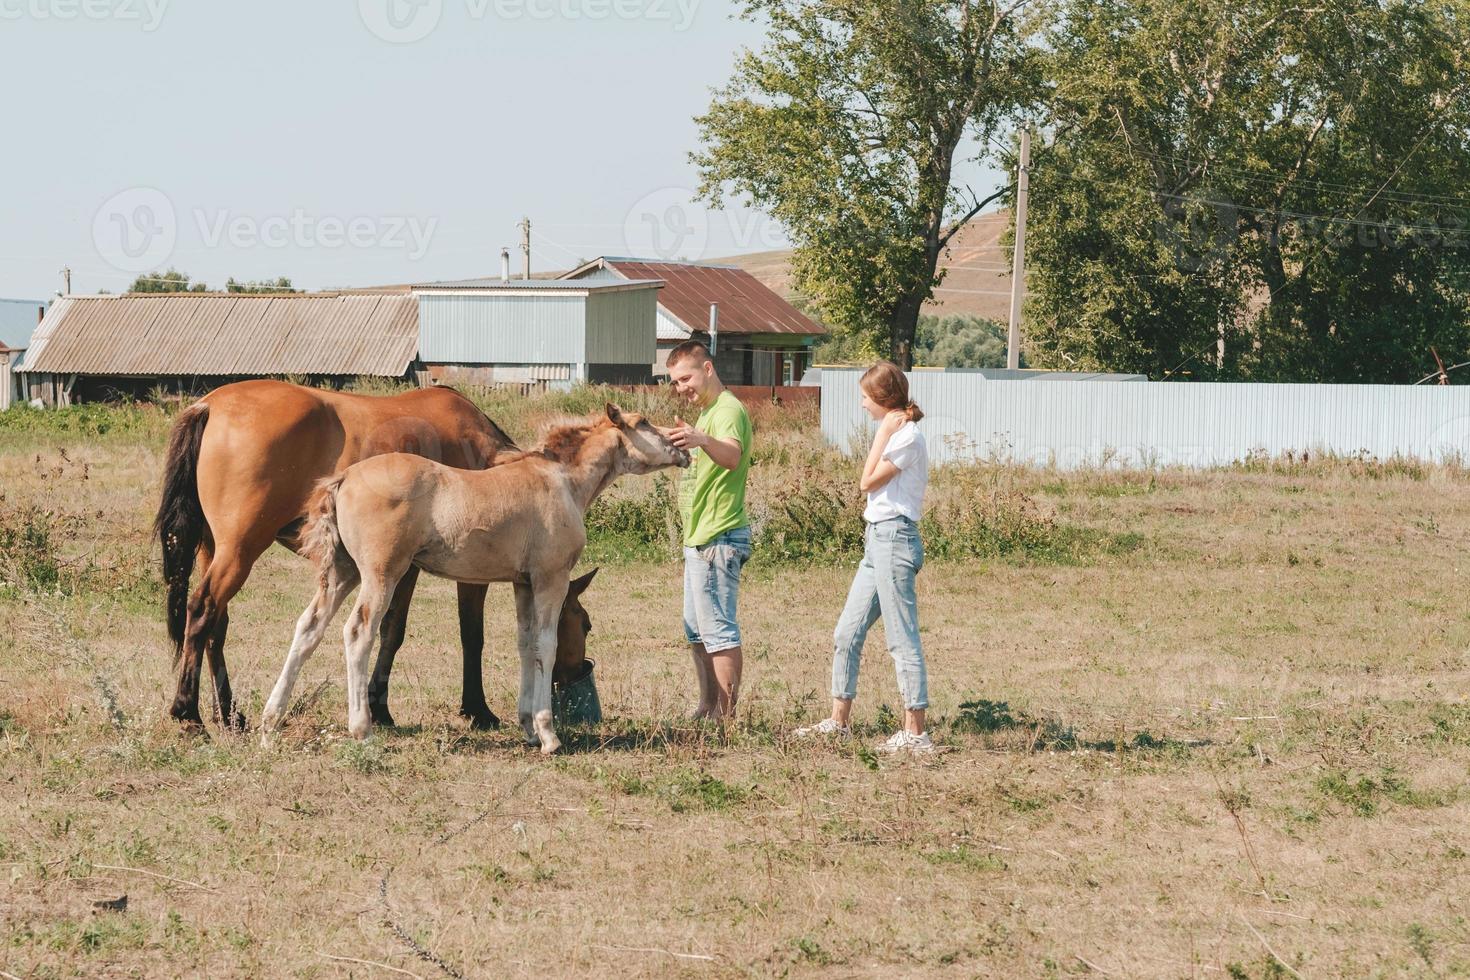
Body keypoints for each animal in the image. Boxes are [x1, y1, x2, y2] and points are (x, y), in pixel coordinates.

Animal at [154, 379, 520, 731]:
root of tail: (210, 405)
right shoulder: (462, 569)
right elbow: (468, 634)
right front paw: (477, 709)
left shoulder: (404, 568)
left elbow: (392, 631)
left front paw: (379, 707)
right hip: (239, 552)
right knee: (202, 611)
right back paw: (187, 713)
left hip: (214, 550)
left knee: (216, 626)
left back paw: (228, 715)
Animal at [264, 402, 687, 758]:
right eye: (643, 423)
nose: (682, 449)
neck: (562, 481)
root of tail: (345, 476)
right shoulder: (550, 578)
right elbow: (546, 645)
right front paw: (549, 735)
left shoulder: (523, 583)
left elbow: (525, 645)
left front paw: (528, 728)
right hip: (381, 574)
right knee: (358, 632)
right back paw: (362, 729)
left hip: (342, 572)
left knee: (308, 628)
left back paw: (271, 722)